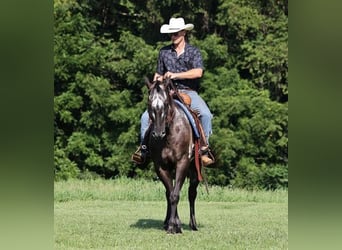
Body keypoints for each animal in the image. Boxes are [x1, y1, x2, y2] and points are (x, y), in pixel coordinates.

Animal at [145, 77, 199, 233]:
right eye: (149, 104)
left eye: (166, 104)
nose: (158, 134)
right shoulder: (161, 166)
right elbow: (170, 194)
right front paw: (173, 224)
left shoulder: (182, 163)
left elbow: (175, 194)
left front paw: (174, 226)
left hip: (194, 169)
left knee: (191, 193)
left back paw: (193, 224)